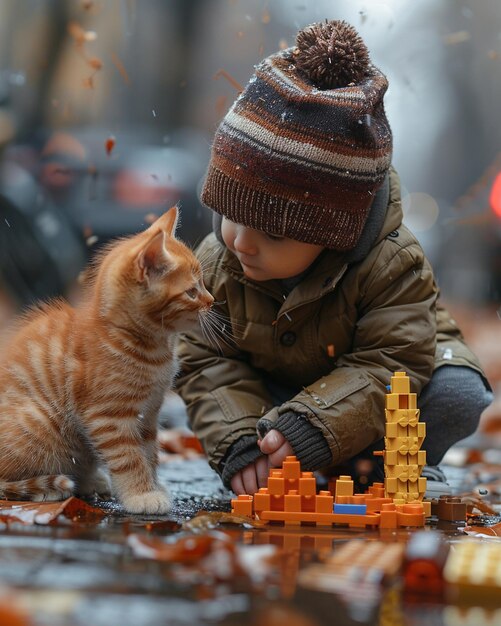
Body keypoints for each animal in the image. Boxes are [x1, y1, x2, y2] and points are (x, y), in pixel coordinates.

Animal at [0, 206, 213, 512]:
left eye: (203, 284)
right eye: (192, 292)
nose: (212, 300)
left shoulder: (148, 414)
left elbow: (149, 453)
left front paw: (153, 486)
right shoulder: (108, 416)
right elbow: (129, 458)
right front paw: (141, 495)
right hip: (40, 422)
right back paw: (48, 487)